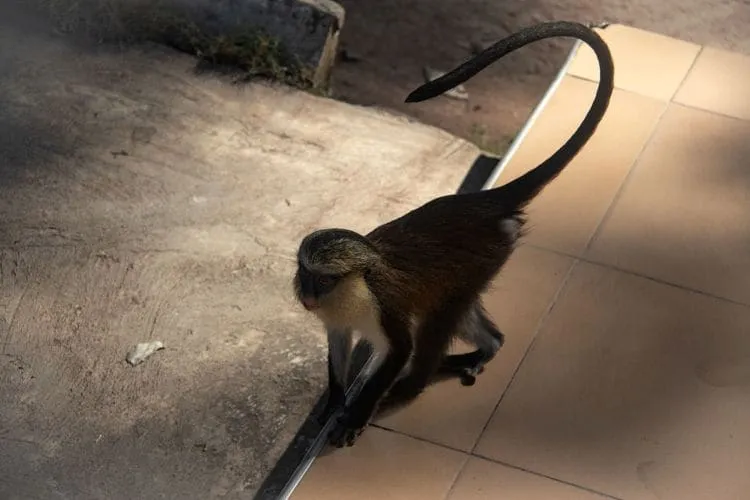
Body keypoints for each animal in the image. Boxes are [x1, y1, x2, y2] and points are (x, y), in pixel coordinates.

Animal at [293, 20, 615, 448]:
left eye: (325, 280)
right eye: (305, 273)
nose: (308, 296)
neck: (358, 286)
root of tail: (483, 202)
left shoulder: (385, 306)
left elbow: (401, 349)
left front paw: (355, 417)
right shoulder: (338, 320)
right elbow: (339, 346)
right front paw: (334, 403)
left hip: (485, 257)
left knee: (437, 323)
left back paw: (411, 385)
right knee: (468, 320)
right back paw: (485, 348)